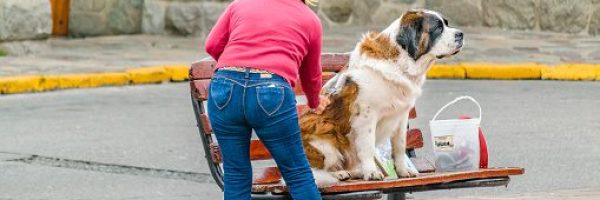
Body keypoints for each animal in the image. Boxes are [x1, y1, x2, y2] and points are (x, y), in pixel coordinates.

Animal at [300, 9, 464, 184]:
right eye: (438, 28)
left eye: (446, 24)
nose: (461, 34)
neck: (400, 64)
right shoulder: (366, 116)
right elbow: (368, 147)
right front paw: (372, 173)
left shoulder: (401, 115)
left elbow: (399, 146)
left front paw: (403, 171)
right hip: (326, 142)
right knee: (314, 170)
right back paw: (338, 174)